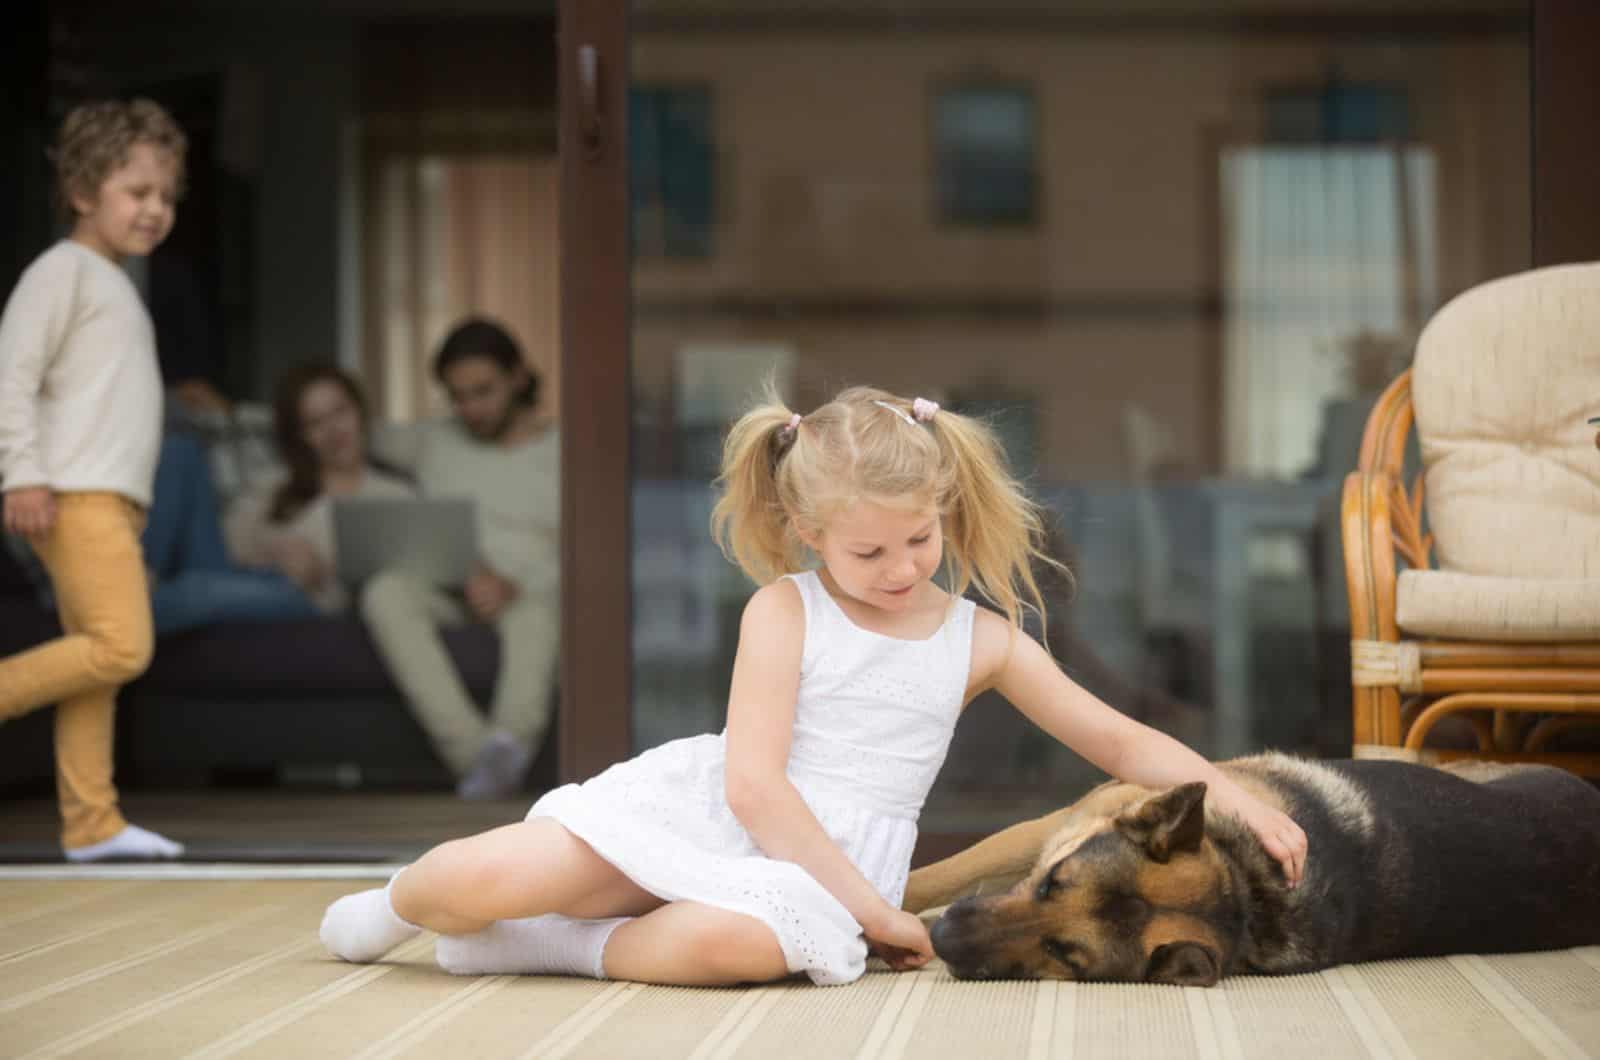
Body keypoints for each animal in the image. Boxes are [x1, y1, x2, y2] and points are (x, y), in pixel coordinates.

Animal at [902, 755, 1600, 986]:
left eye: (1064, 954)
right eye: (1050, 884)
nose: (944, 939)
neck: (1246, 889)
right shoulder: (1054, 827)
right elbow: (942, 872)